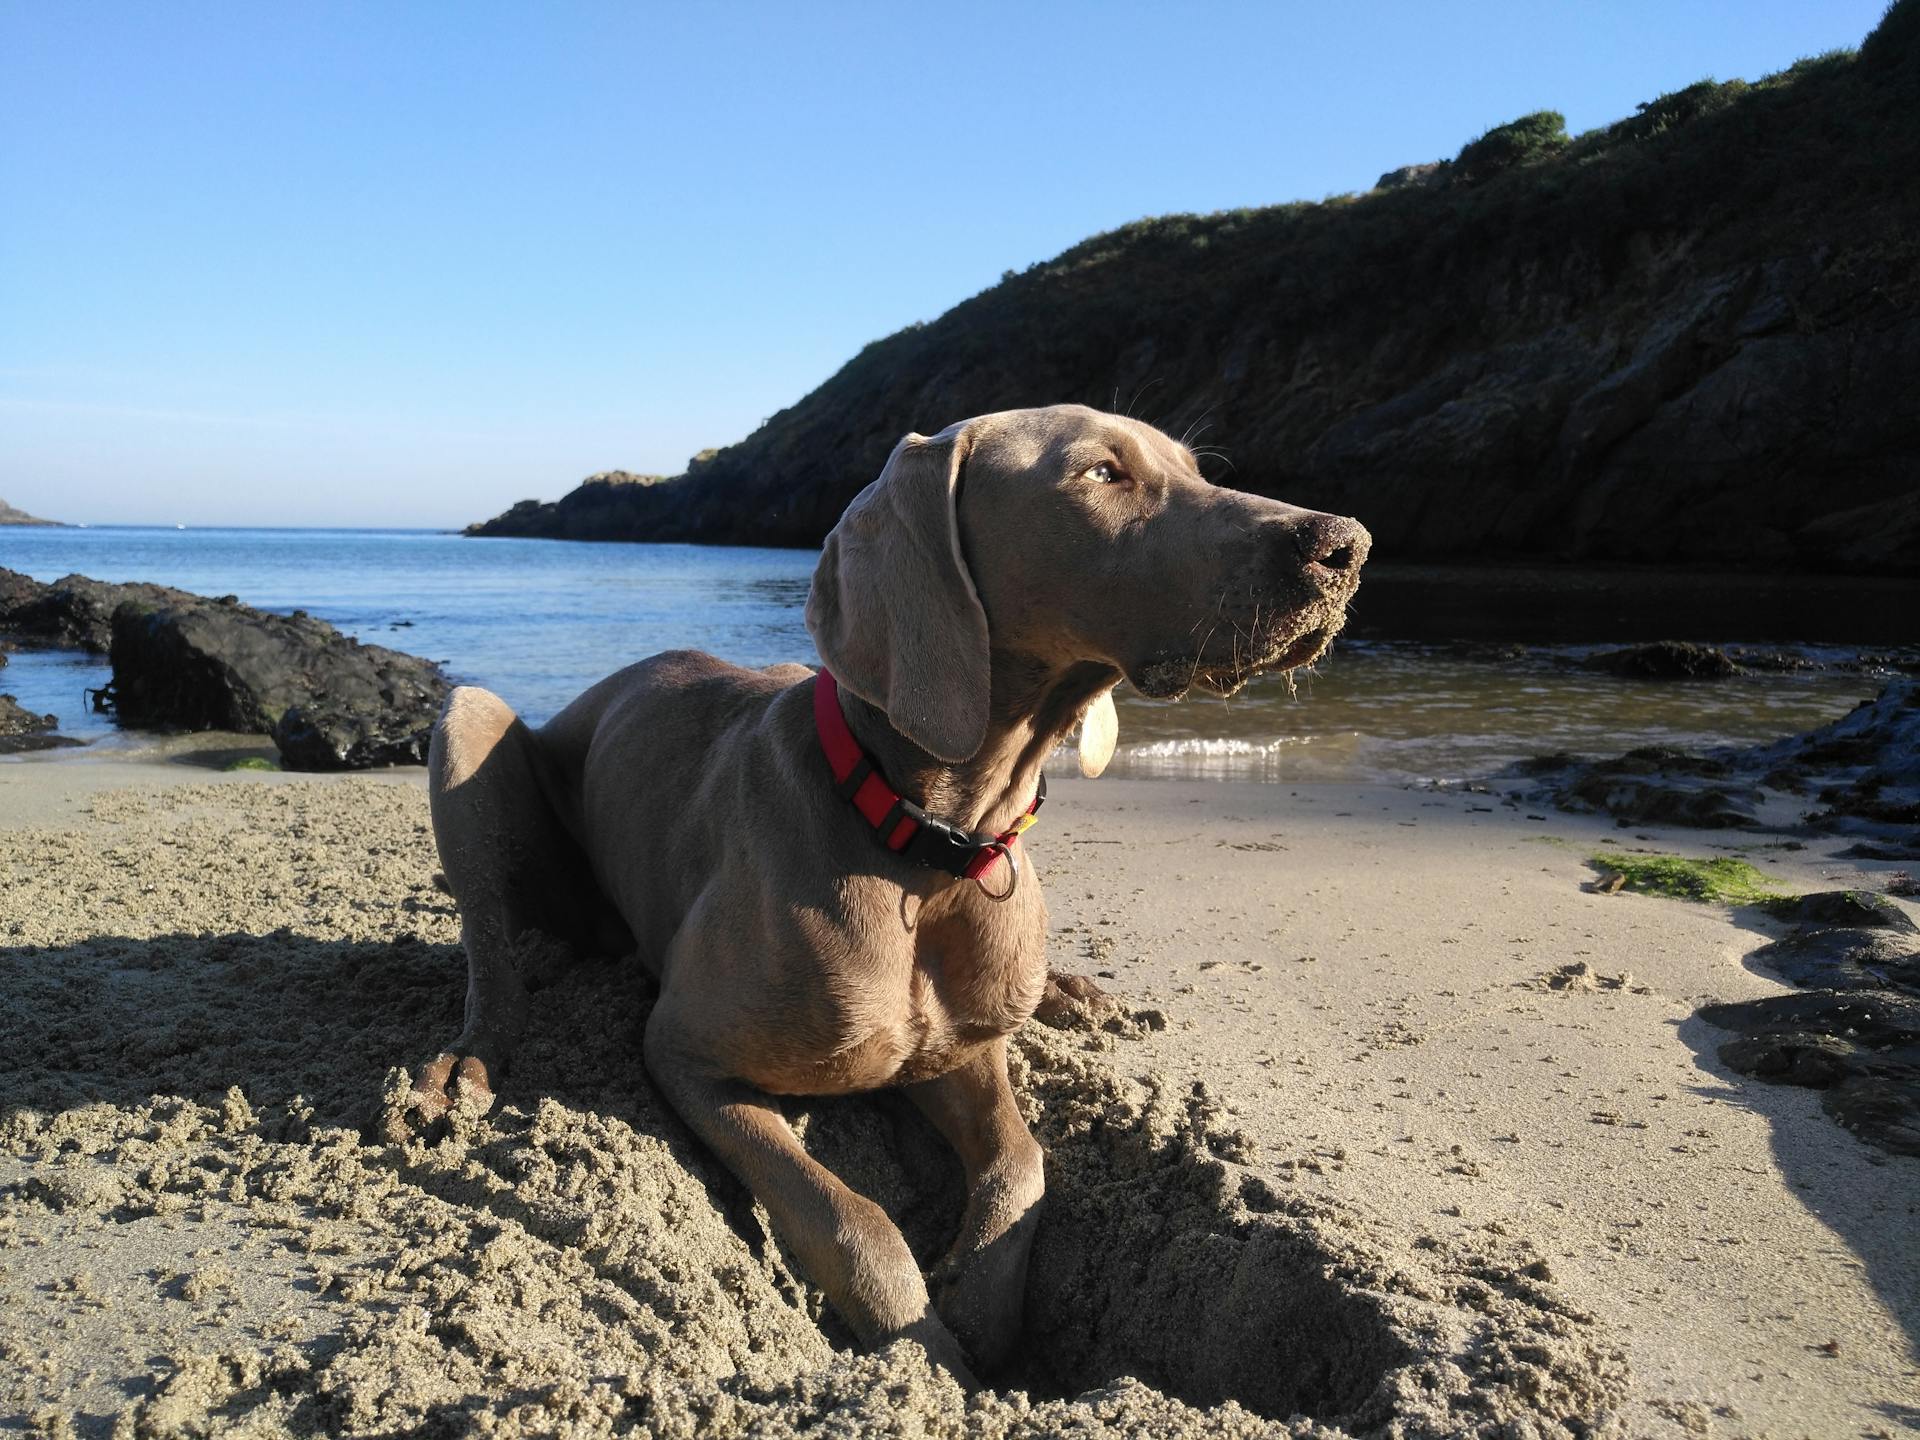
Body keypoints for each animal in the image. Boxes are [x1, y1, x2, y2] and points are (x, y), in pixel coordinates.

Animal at [401, 407, 1367, 1390]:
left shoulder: (954, 1048)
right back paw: (457, 1073)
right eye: (1103, 472)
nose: (1346, 544)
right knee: (491, 952)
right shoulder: (685, 1053)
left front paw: (978, 1307)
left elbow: (1024, 1160)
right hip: (470, 721)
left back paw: (1073, 995)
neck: (931, 847)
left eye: (1195, 469)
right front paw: (929, 1352)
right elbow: (851, 1216)